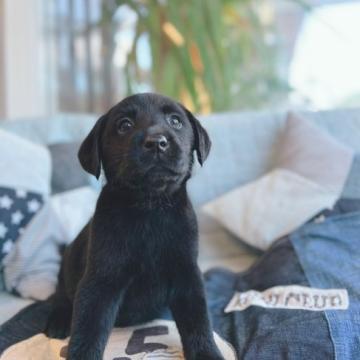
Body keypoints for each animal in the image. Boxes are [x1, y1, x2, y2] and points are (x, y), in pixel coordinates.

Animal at [44, 93, 225, 360]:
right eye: (125, 125)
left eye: (175, 121)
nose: (157, 142)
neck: (149, 208)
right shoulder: (100, 280)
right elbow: (88, 329)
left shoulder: (187, 275)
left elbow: (198, 322)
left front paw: (207, 353)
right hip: (69, 263)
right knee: (61, 294)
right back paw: (57, 320)